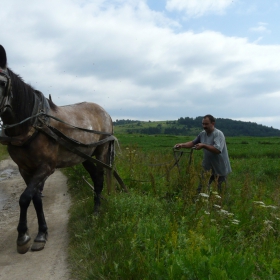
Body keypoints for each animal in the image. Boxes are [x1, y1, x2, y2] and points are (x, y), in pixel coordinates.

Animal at [0, 45, 122, 254]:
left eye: (0, 83)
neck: (33, 124)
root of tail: (105, 112)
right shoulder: (25, 169)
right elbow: (35, 199)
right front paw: (41, 233)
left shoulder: (46, 167)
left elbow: (24, 198)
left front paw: (23, 237)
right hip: (85, 157)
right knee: (96, 178)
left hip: (101, 152)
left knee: (99, 180)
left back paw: (96, 212)